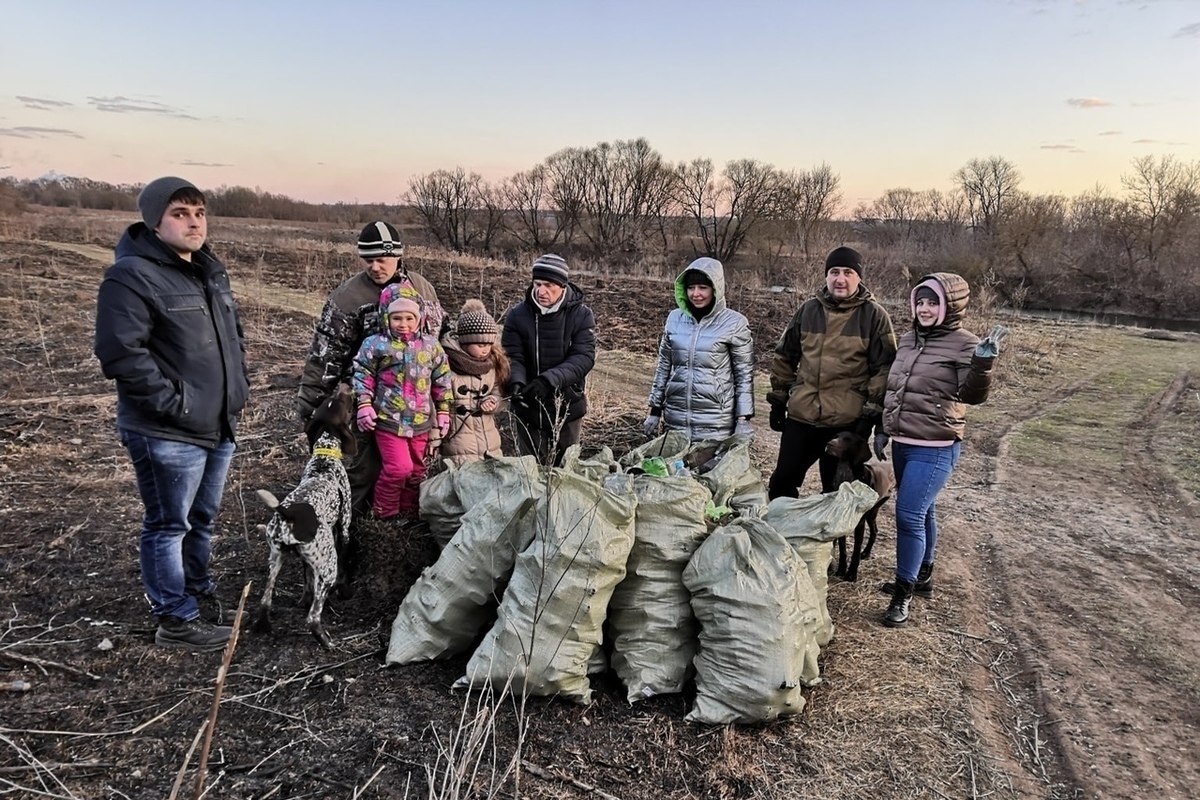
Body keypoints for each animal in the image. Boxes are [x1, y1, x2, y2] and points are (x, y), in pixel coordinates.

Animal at [253, 383, 355, 652]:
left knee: (265, 600)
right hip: (328, 566)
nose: (345, 385)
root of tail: (286, 513)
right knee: (313, 617)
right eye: (344, 402)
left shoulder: (306, 558)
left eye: (333, 398)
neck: (324, 458)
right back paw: (326, 641)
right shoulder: (344, 527)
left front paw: (303, 597)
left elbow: (306, 577)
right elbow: (345, 563)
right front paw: (345, 590)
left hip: (275, 558)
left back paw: (263, 626)